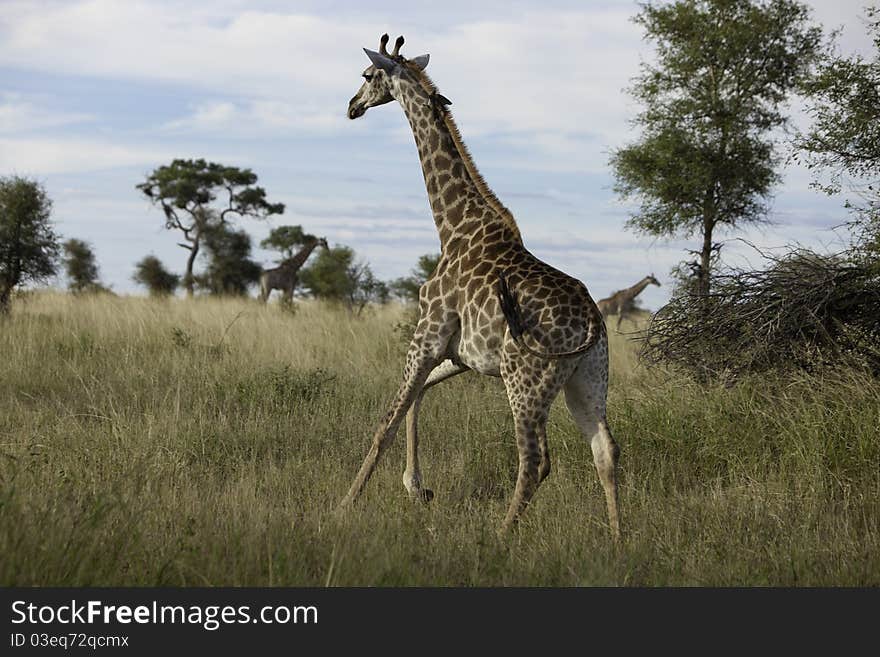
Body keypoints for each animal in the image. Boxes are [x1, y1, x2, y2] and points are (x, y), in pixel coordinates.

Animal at [336, 33, 620, 540]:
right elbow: (419, 397)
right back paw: (619, 540)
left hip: (527, 379)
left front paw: (343, 507)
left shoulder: (427, 335)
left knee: (536, 461)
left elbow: (385, 423)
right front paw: (416, 488)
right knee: (605, 451)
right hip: (588, 378)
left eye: (367, 75)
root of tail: (590, 321)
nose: (352, 106)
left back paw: (500, 538)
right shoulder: (460, 354)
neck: (453, 227)